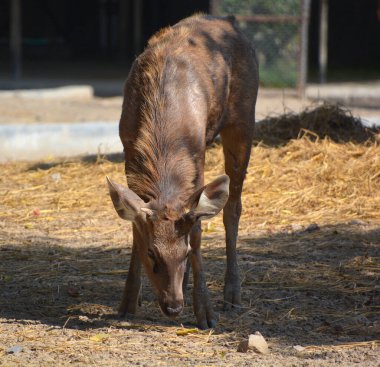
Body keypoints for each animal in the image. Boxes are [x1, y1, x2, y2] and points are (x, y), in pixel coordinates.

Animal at [107, 14, 258, 330]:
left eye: (185, 252)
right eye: (151, 252)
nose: (174, 306)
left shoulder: (197, 155)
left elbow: (199, 228)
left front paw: (206, 313)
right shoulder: (127, 148)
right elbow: (134, 226)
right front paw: (128, 302)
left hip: (243, 118)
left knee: (233, 207)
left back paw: (231, 294)